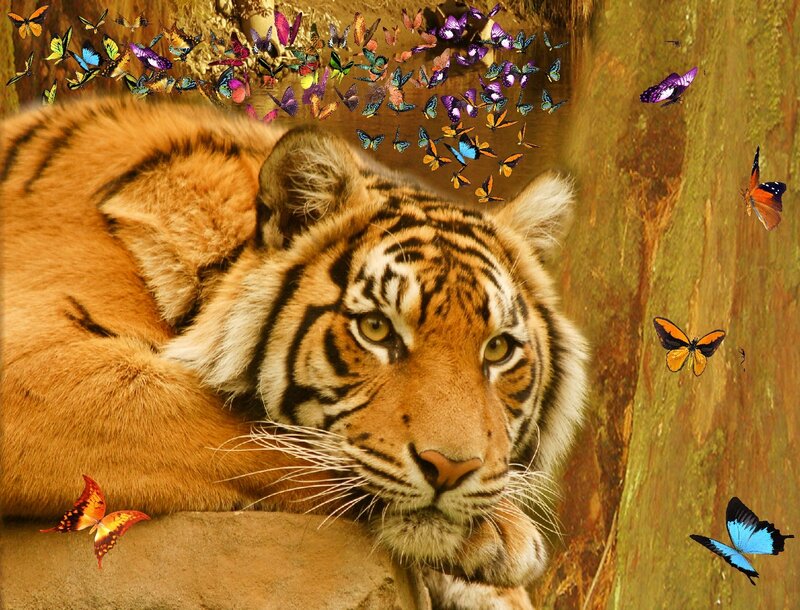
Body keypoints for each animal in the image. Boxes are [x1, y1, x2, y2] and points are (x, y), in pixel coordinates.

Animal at [0, 97, 588, 608]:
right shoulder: (31, 366)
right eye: (376, 329)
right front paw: (505, 534)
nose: (451, 469)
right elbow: (252, 436)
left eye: (498, 349)